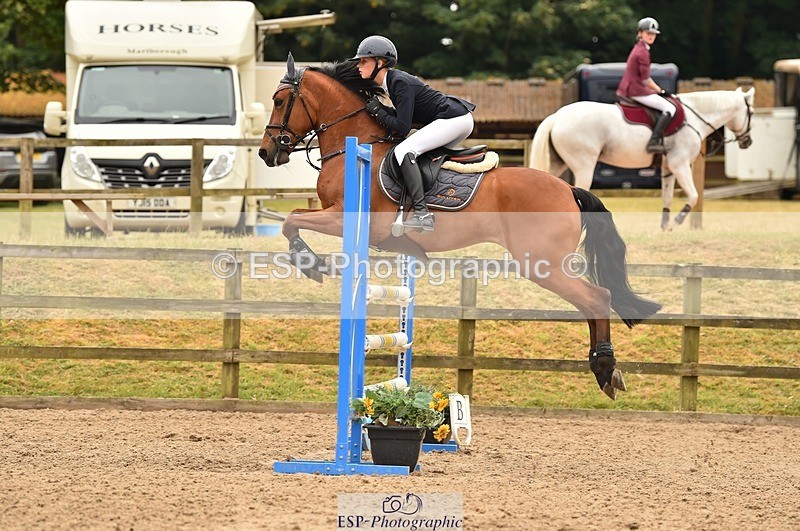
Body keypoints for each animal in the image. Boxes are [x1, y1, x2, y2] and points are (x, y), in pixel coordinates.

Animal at [258, 57, 662, 399]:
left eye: (279, 100)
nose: (266, 152)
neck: (354, 146)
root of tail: (568, 189)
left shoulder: (344, 216)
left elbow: (292, 221)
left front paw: (310, 265)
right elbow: (295, 219)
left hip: (540, 263)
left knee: (596, 298)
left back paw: (605, 369)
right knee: (590, 301)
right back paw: (604, 369)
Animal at [530, 88, 754, 230]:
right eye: (751, 112)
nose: (747, 142)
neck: (695, 118)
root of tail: (557, 116)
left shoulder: (668, 168)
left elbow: (667, 196)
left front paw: (664, 228)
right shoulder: (680, 165)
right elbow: (693, 195)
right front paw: (677, 222)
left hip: (558, 164)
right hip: (584, 166)